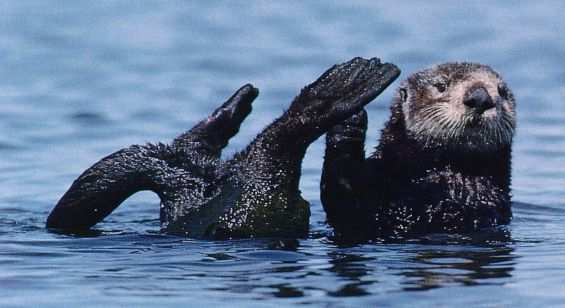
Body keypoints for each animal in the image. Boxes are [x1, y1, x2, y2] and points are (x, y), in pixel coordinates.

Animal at [47, 57, 400, 238]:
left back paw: (233, 108)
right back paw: (343, 86)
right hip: (257, 191)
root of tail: (193, 185)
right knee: (280, 138)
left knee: (193, 146)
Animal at [320, 61, 512, 237]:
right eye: (441, 85)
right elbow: (340, 200)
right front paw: (350, 119)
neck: (446, 170)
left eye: (501, 91)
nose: (480, 98)